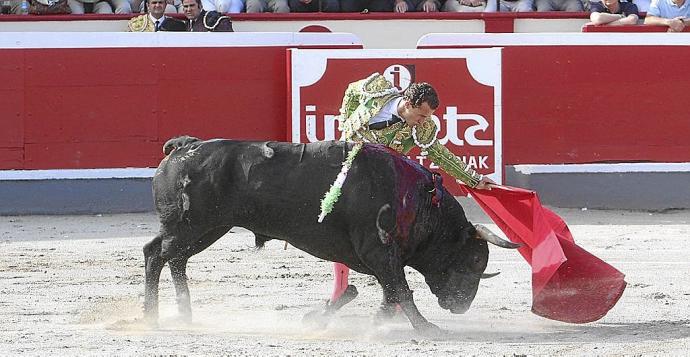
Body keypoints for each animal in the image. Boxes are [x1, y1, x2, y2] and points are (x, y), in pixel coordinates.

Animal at [146, 137, 520, 330]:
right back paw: (152, 315)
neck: (420, 201)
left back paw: (184, 313)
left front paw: (375, 321)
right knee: (156, 254)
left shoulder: (379, 258)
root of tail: (182, 147)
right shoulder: (379, 251)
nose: (462, 306)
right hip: (191, 225)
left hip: (207, 228)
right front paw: (428, 328)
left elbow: (391, 292)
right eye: (475, 259)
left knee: (174, 259)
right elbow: (401, 289)